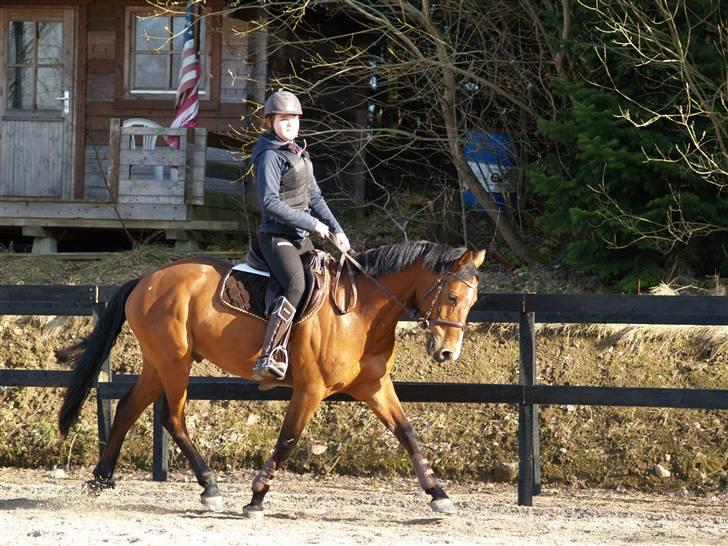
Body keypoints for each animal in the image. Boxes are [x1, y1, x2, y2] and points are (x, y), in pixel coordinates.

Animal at [58, 240, 485, 517]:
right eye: (451, 297)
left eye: (473, 301)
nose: (447, 353)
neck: (360, 310)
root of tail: (146, 279)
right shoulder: (310, 389)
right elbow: (288, 440)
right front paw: (257, 497)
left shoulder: (374, 387)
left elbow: (408, 434)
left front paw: (439, 494)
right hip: (174, 362)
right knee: (172, 418)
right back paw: (209, 487)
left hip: (157, 362)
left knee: (128, 408)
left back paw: (101, 479)